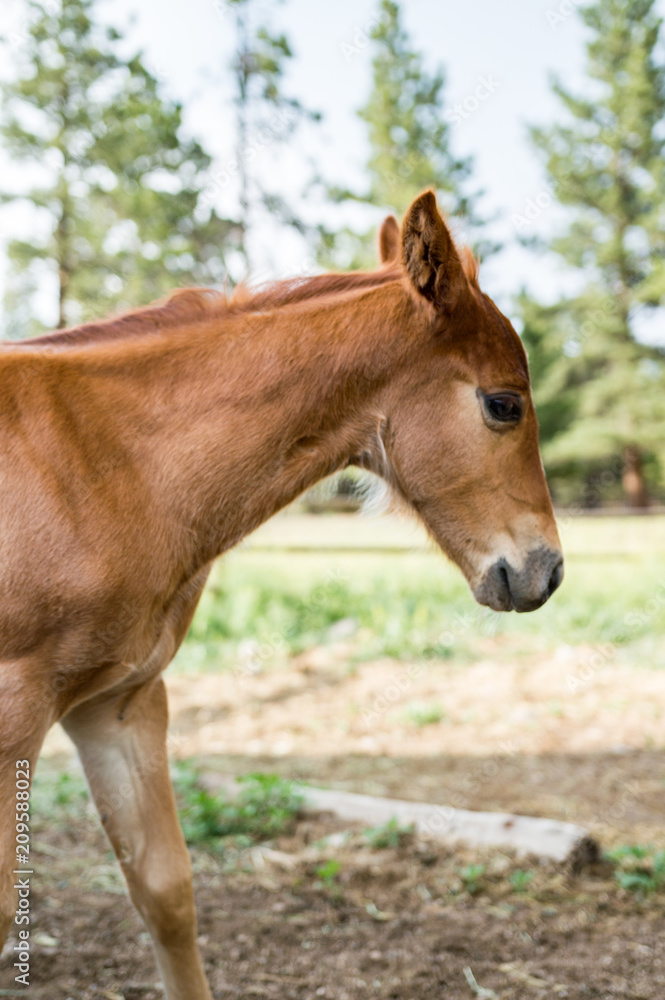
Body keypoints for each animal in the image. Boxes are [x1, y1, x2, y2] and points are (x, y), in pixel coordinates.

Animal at [0, 191, 560, 996]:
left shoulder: (118, 702)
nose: (545, 568)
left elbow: (166, 891)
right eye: (503, 404)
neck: (98, 463)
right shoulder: (16, 709)